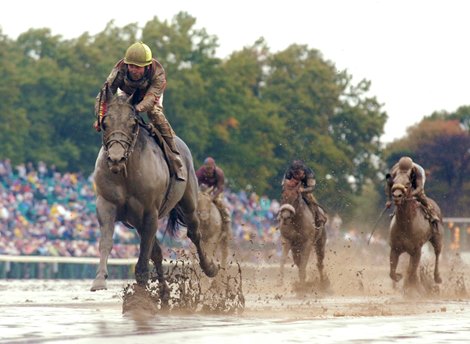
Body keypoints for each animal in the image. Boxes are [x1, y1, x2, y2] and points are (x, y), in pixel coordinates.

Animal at [90, 90, 218, 292]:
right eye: (105, 123)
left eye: (132, 124)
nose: (116, 159)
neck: (126, 174)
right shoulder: (106, 204)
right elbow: (107, 241)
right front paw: (100, 279)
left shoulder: (150, 211)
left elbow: (144, 253)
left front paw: (141, 284)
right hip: (136, 220)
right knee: (156, 250)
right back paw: (164, 292)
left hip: (189, 201)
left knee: (194, 233)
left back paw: (209, 267)